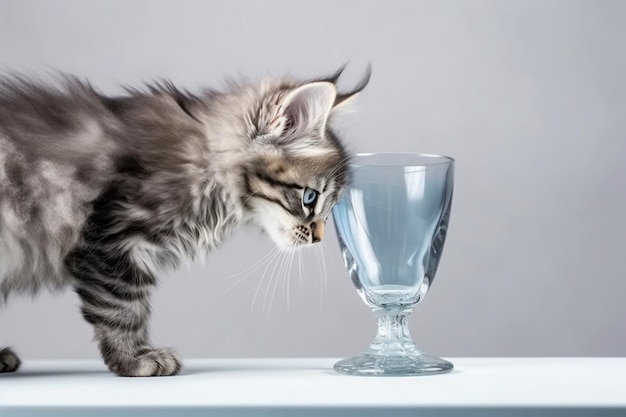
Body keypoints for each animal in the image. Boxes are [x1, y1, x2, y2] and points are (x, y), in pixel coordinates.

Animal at [0, 67, 368, 374]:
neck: (204, 161)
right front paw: (135, 360)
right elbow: (122, 306)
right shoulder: (113, 237)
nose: (319, 237)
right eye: (311, 198)